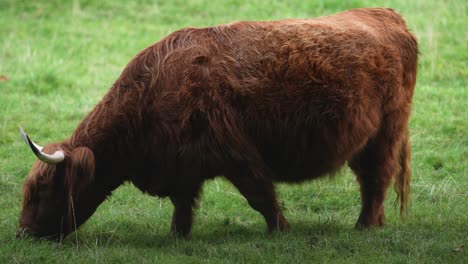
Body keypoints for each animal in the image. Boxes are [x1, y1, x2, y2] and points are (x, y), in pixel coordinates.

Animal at [17, 7, 416, 239]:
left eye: (44, 191)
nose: (23, 233)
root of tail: (386, 14)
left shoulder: (236, 154)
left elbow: (261, 197)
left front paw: (282, 231)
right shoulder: (181, 164)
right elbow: (183, 205)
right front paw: (177, 236)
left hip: (385, 132)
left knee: (376, 179)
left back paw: (364, 226)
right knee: (371, 180)